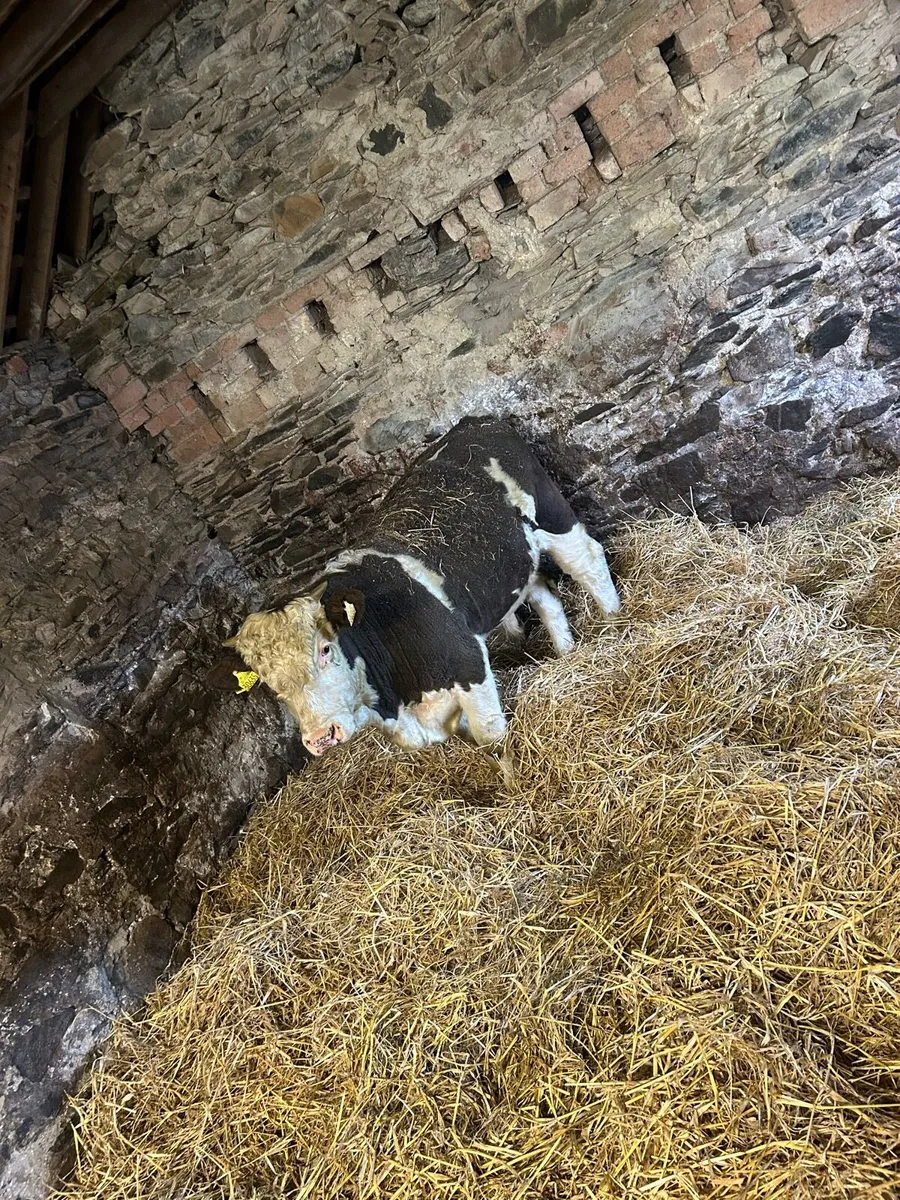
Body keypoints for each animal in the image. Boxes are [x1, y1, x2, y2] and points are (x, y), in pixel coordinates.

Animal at [223, 417, 620, 756]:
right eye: (271, 685)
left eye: (325, 649)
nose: (321, 737)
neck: (397, 703)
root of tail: (475, 422)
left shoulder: (469, 664)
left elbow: (492, 742)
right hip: (514, 561)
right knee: (543, 594)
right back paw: (566, 651)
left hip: (553, 518)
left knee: (588, 561)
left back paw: (615, 622)